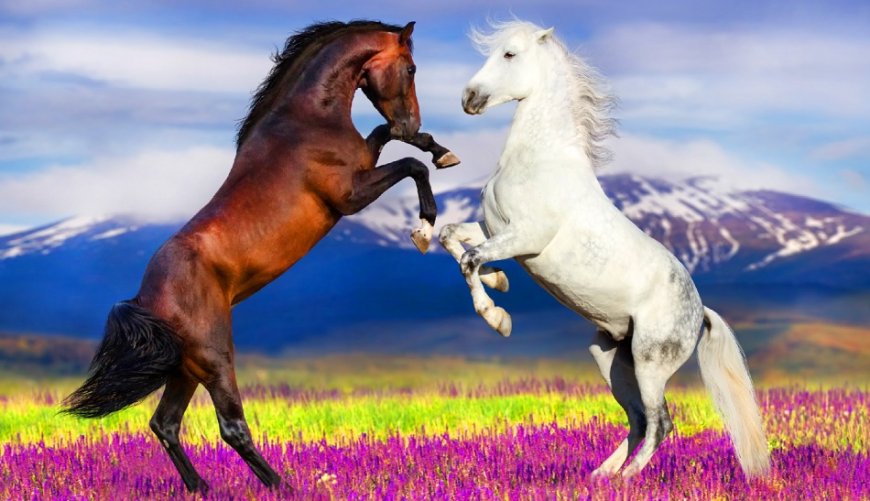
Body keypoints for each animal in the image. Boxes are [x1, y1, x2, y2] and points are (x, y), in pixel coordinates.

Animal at [63, 20, 459, 493]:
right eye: (412, 68)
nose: (411, 119)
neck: (307, 121)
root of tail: (145, 298)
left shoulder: (365, 161)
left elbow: (392, 142)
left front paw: (439, 149)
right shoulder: (350, 195)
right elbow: (411, 166)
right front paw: (424, 227)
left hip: (186, 368)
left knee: (165, 424)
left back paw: (202, 488)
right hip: (215, 358)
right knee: (230, 427)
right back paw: (283, 485)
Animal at [439, 20, 770, 479]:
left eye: (509, 54)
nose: (469, 99)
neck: (539, 160)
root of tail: (699, 312)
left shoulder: (525, 237)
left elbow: (470, 259)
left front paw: (497, 318)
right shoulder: (493, 228)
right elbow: (450, 237)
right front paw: (500, 281)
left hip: (650, 362)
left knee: (661, 421)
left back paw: (627, 478)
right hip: (610, 356)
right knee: (638, 419)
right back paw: (601, 476)